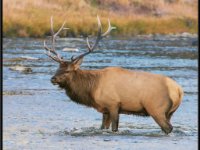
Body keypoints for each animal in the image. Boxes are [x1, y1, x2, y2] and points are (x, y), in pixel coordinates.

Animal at [43, 15, 183, 134]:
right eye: (58, 68)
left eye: (68, 70)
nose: (53, 78)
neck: (92, 89)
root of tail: (178, 90)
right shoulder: (105, 109)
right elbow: (103, 127)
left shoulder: (113, 104)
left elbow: (114, 128)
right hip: (169, 113)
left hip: (156, 108)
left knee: (168, 128)